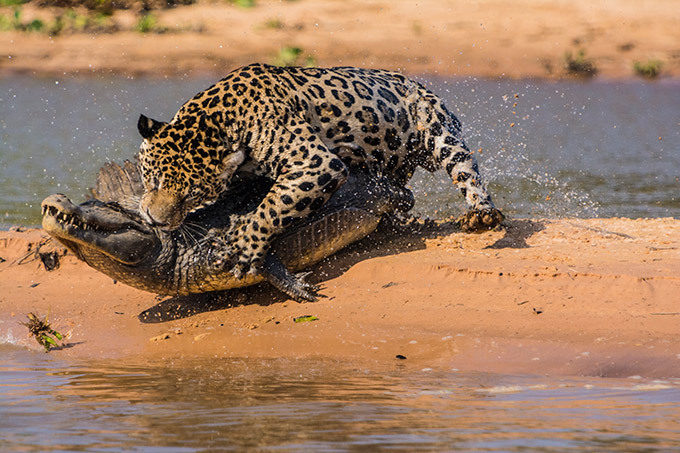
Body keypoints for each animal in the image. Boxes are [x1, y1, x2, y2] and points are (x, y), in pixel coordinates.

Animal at [136, 63, 504, 278]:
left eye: (192, 195)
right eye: (152, 180)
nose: (155, 220)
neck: (218, 118)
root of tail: (418, 84)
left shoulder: (316, 162)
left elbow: (272, 208)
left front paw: (244, 247)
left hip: (439, 131)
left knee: (466, 170)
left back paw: (482, 214)